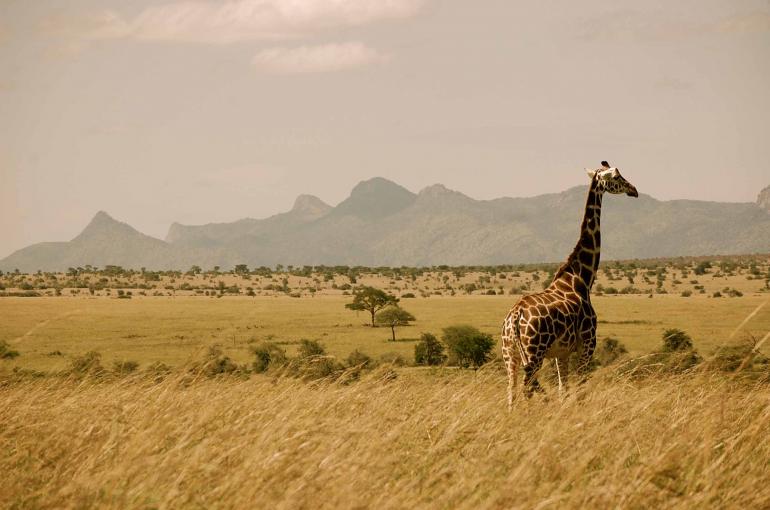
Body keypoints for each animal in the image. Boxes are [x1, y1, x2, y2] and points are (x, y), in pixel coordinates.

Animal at [498, 161, 636, 404]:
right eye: (617, 177)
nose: (634, 190)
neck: (581, 278)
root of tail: (514, 316)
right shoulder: (587, 344)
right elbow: (580, 387)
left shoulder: (561, 353)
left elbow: (564, 388)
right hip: (534, 352)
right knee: (526, 388)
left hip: (510, 354)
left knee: (511, 391)